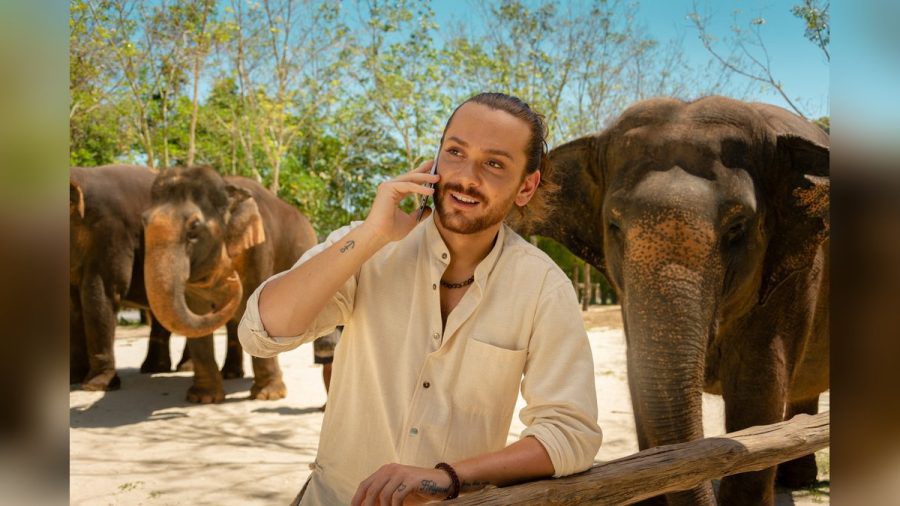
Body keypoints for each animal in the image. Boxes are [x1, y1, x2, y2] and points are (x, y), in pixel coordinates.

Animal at [70, 164, 192, 390]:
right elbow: (72, 305)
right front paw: (74, 379)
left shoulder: (111, 232)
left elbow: (101, 294)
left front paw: (96, 386)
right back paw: (155, 368)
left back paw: (183, 368)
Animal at [142, 166, 318, 404]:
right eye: (143, 221)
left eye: (194, 229)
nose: (231, 278)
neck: (229, 189)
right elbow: (197, 309)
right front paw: (203, 398)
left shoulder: (260, 248)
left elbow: (257, 296)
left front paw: (269, 396)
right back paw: (231, 374)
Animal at [532, 97, 832, 504]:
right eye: (614, 225)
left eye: (737, 228)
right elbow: (639, 383)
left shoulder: (793, 274)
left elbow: (759, 387)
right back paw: (797, 480)